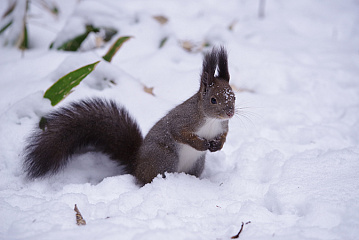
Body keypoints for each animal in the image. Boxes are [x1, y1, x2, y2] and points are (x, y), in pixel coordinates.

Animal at [23, 47, 236, 186]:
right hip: (164, 158)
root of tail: (136, 165)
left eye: (233, 96)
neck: (211, 120)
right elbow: (179, 132)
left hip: (196, 164)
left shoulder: (223, 126)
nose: (230, 112)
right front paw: (202, 144)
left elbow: (224, 136)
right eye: (213, 100)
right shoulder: (184, 119)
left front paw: (218, 145)